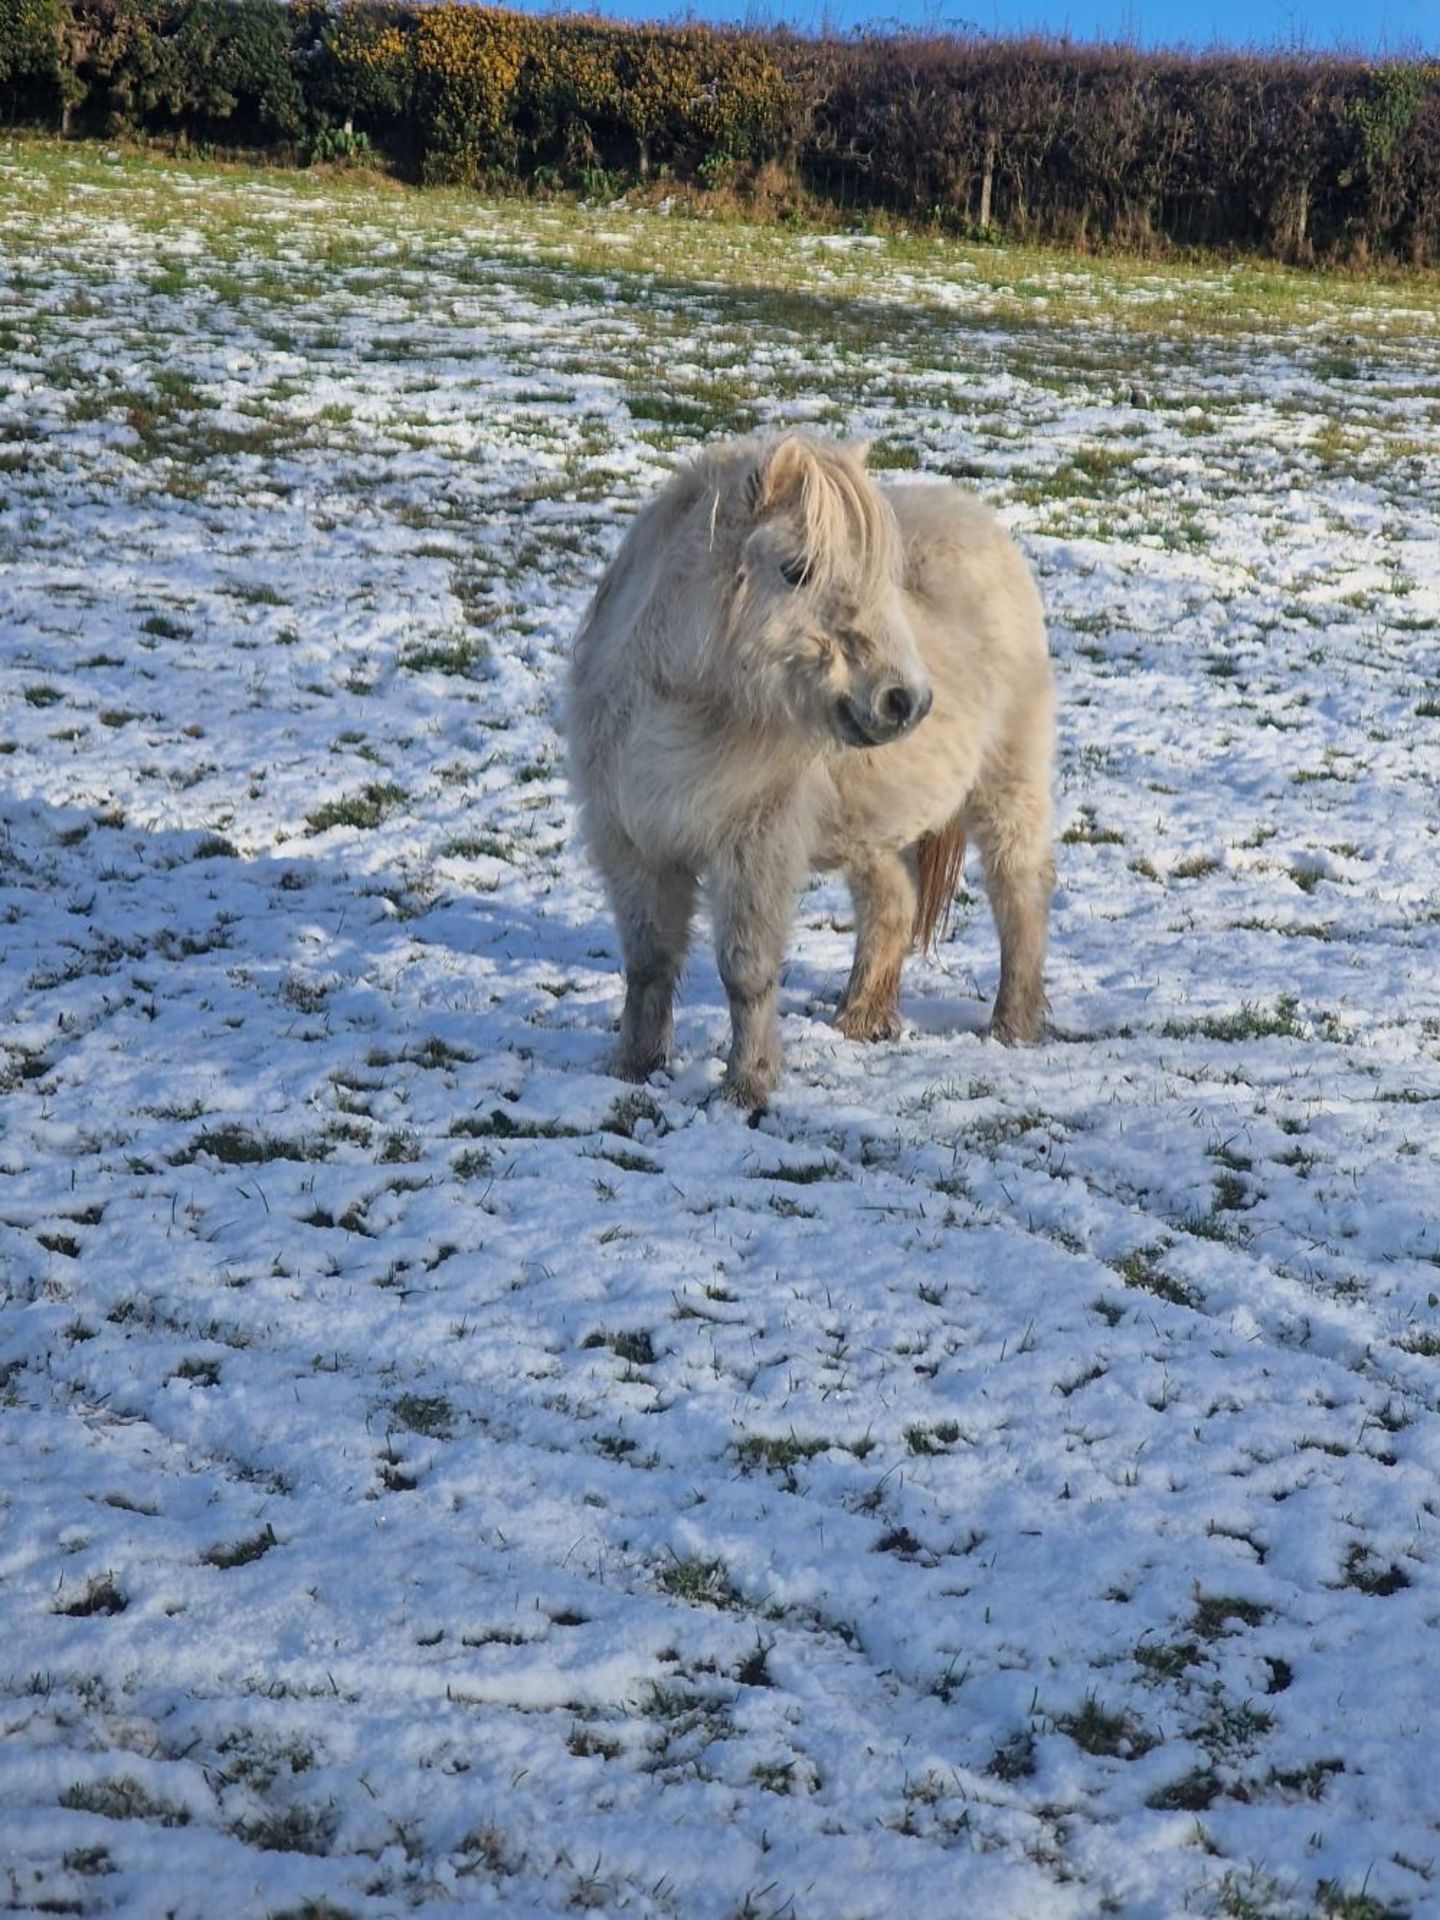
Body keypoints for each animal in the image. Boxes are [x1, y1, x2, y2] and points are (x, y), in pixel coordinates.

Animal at [568, 428, 1059, 1105]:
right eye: (796, 570)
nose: (905, 701)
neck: (683, 713)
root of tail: (978, 520)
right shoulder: (633, 844)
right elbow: (648, 962)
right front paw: (634, 1068)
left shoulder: (754, 849)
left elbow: (745, 971)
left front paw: (747, 1087)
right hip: (875, 827)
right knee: (891, 906)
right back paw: (860, 1020)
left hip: (1007, 787)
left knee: (1020, 895)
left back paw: (1012, 1026)